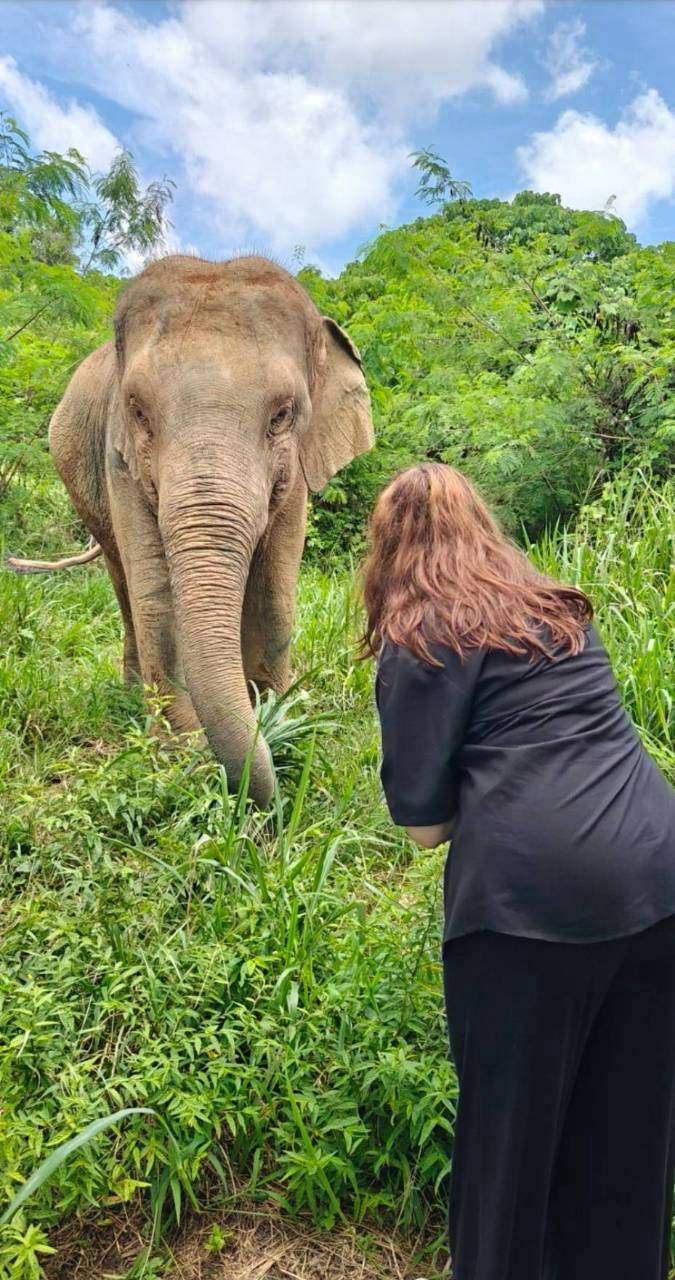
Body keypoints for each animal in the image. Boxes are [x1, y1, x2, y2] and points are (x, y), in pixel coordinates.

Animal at [11, 255, 374, 805]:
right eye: (138, 411)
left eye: (282, 415)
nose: (265, 797)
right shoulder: (120, 461)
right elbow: (157, 600)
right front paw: (181, 753)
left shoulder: (296, 476)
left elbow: (274, 594)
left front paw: (280, 717)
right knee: (124, 584)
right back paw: (132, 696)